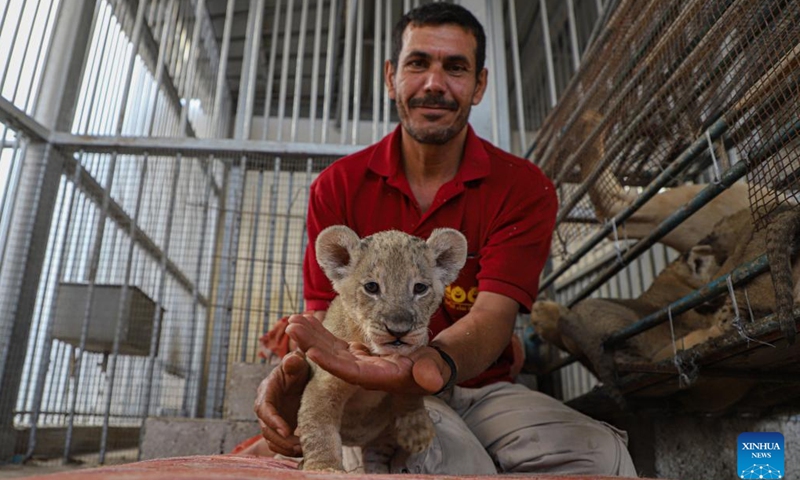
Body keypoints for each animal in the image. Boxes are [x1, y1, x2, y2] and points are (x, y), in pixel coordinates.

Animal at [296, 226, 467, 473]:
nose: (398, 330)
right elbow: (319, 428)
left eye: (420, 288)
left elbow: (411, 393)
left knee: (375, 456)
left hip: (380, 441)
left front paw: (416, 429)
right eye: (371, 287)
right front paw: (324, 468)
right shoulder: (323, 383)